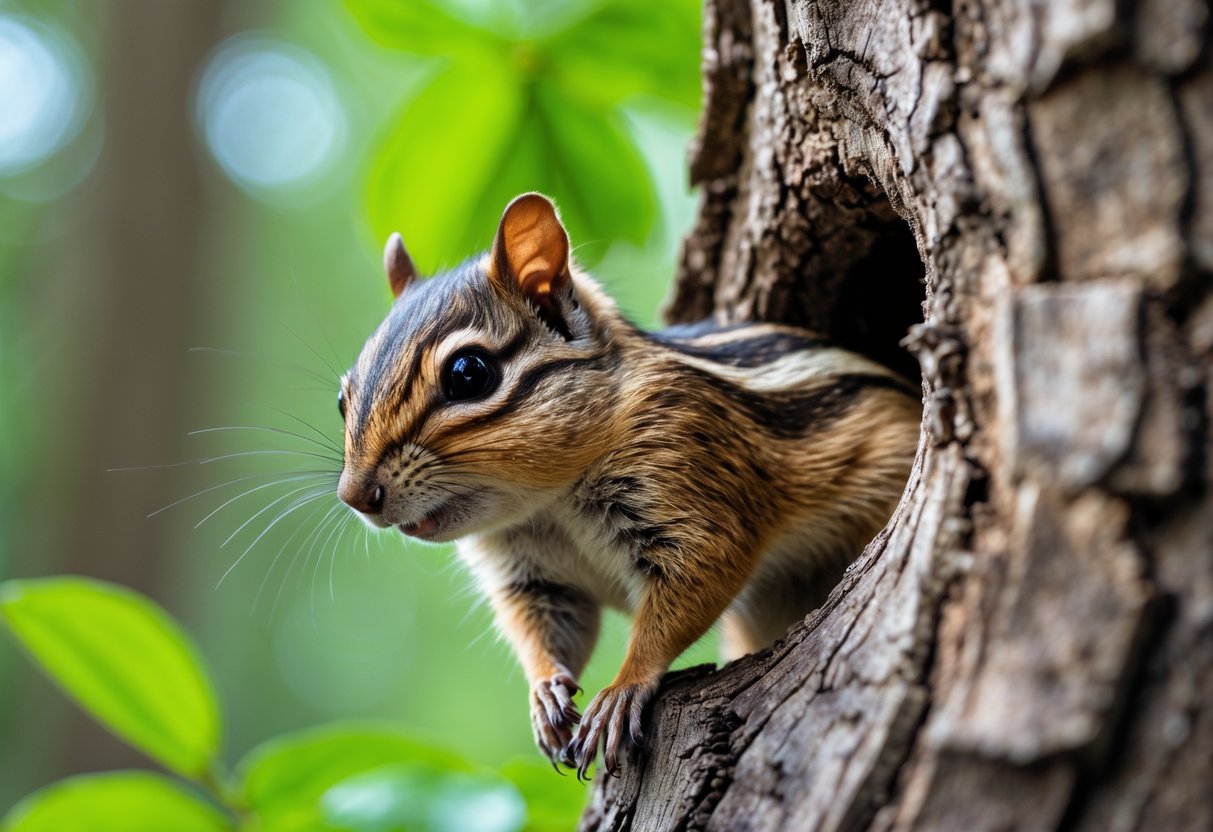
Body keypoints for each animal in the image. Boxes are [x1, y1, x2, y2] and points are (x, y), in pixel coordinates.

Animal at [337, 193, 921, 778]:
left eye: (468, 373)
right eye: (343, 398)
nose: (355, 496)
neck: (549, 502)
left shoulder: (690, 485)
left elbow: (687, 595)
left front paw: (621, 691)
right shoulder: (534, 579)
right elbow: (548, 631)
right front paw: (544, 694)